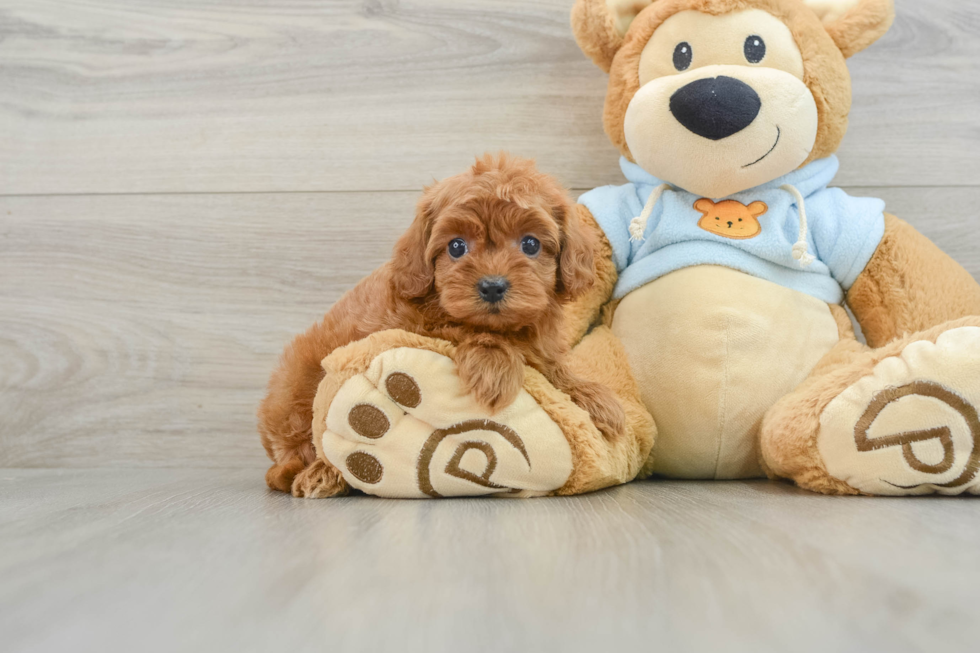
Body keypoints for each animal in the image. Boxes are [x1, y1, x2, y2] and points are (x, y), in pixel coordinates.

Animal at [258, 154, 628, 500]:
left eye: (531, 244)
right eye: (456, 246)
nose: (492, 286)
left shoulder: (541, 343)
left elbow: (552, 367)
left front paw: (593, 397)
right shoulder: (416, 326)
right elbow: (470, 332)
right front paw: (495, 367)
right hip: (293, 391)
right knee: (300, 451)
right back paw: (322, 474)